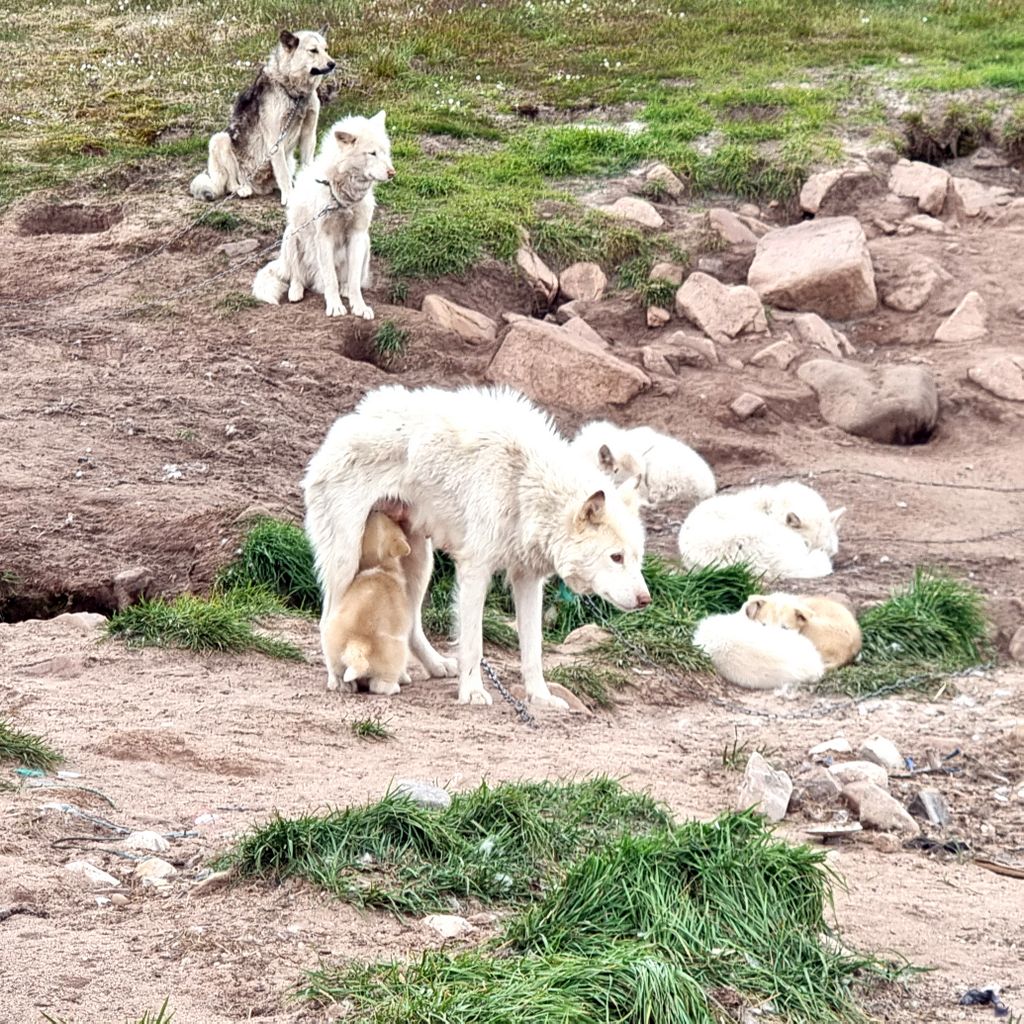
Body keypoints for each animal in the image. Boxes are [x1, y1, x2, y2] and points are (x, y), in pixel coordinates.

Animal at [190, 29, 333, 203]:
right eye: (313, 50)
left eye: (326, 49)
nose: (333, 64)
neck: (294, 92)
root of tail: (259, 187)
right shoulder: (275, 140)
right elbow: (283, 174)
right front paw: (290, 197)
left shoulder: (309, 135)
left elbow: (306, 166)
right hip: (219, 139)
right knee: (231, 184)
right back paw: (242, 189)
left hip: (289, 160)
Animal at [301, 380, 647, 708]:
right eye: (616, 557)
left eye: (636, 559)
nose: (646, 600)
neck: (523, 481)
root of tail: (342, 426)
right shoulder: (475, 570)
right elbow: (473, 644)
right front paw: (473, 692)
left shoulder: (528, 579)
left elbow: (533, 650)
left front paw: (541, 697)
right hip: (346, 561)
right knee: (327, 618)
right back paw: (339, 679)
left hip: (418, 562)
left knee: (411, 625)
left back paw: (428, 668)